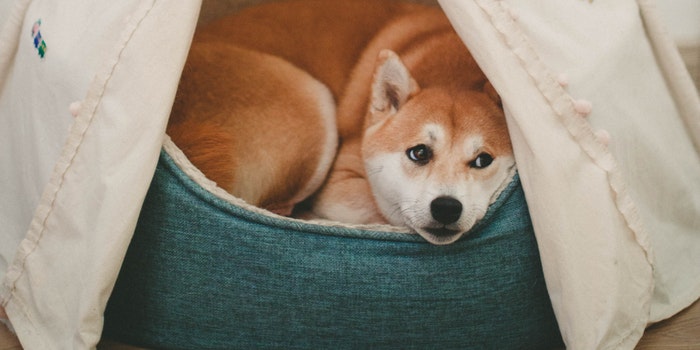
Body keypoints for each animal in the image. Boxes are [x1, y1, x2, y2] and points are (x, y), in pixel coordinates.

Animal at [187, 0, 516, 245]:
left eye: (483, 160)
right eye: (419, 152)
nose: (447, 208)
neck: (457, 74)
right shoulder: (341, 178)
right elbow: (382, 209)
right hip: (312, 108)